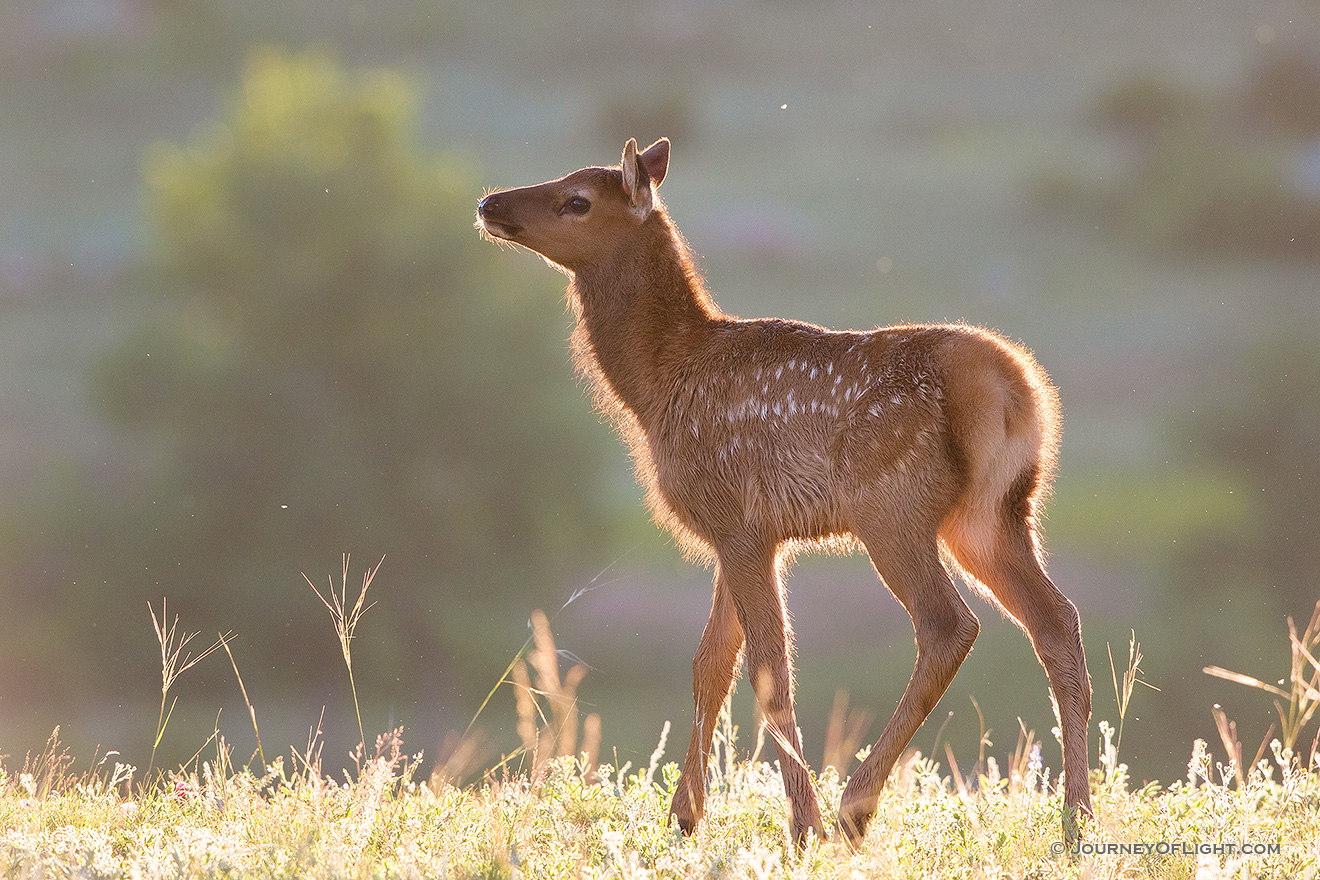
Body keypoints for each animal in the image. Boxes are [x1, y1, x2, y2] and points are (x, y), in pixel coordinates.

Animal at [475, 141, 1092, 849]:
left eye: (576, 200)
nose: (489, 202)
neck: (657, 385)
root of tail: (1014, 390)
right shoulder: (737, 531)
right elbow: (710, 665)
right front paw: (683, 818)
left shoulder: (741, 523)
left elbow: (768, 670)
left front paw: (801, 824)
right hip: (993, 515)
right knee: (1057, 619)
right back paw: (1076, 818)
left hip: (892, 505)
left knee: (949, 625)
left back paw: (855, 806)